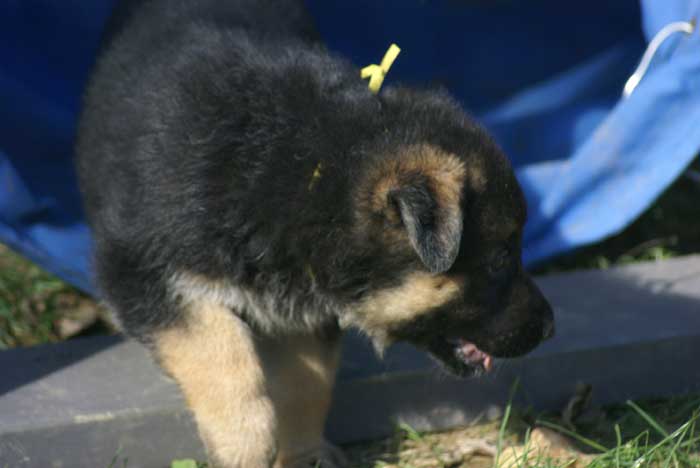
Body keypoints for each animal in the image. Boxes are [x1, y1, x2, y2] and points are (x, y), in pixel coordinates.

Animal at [78, 0, 552, 466]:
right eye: (499, 260)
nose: (549, 328)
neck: (306, 168)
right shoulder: (144, 273)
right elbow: (221, 355)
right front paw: (244, 446)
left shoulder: (306, 308)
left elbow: (306, 386)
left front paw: (304, 453)